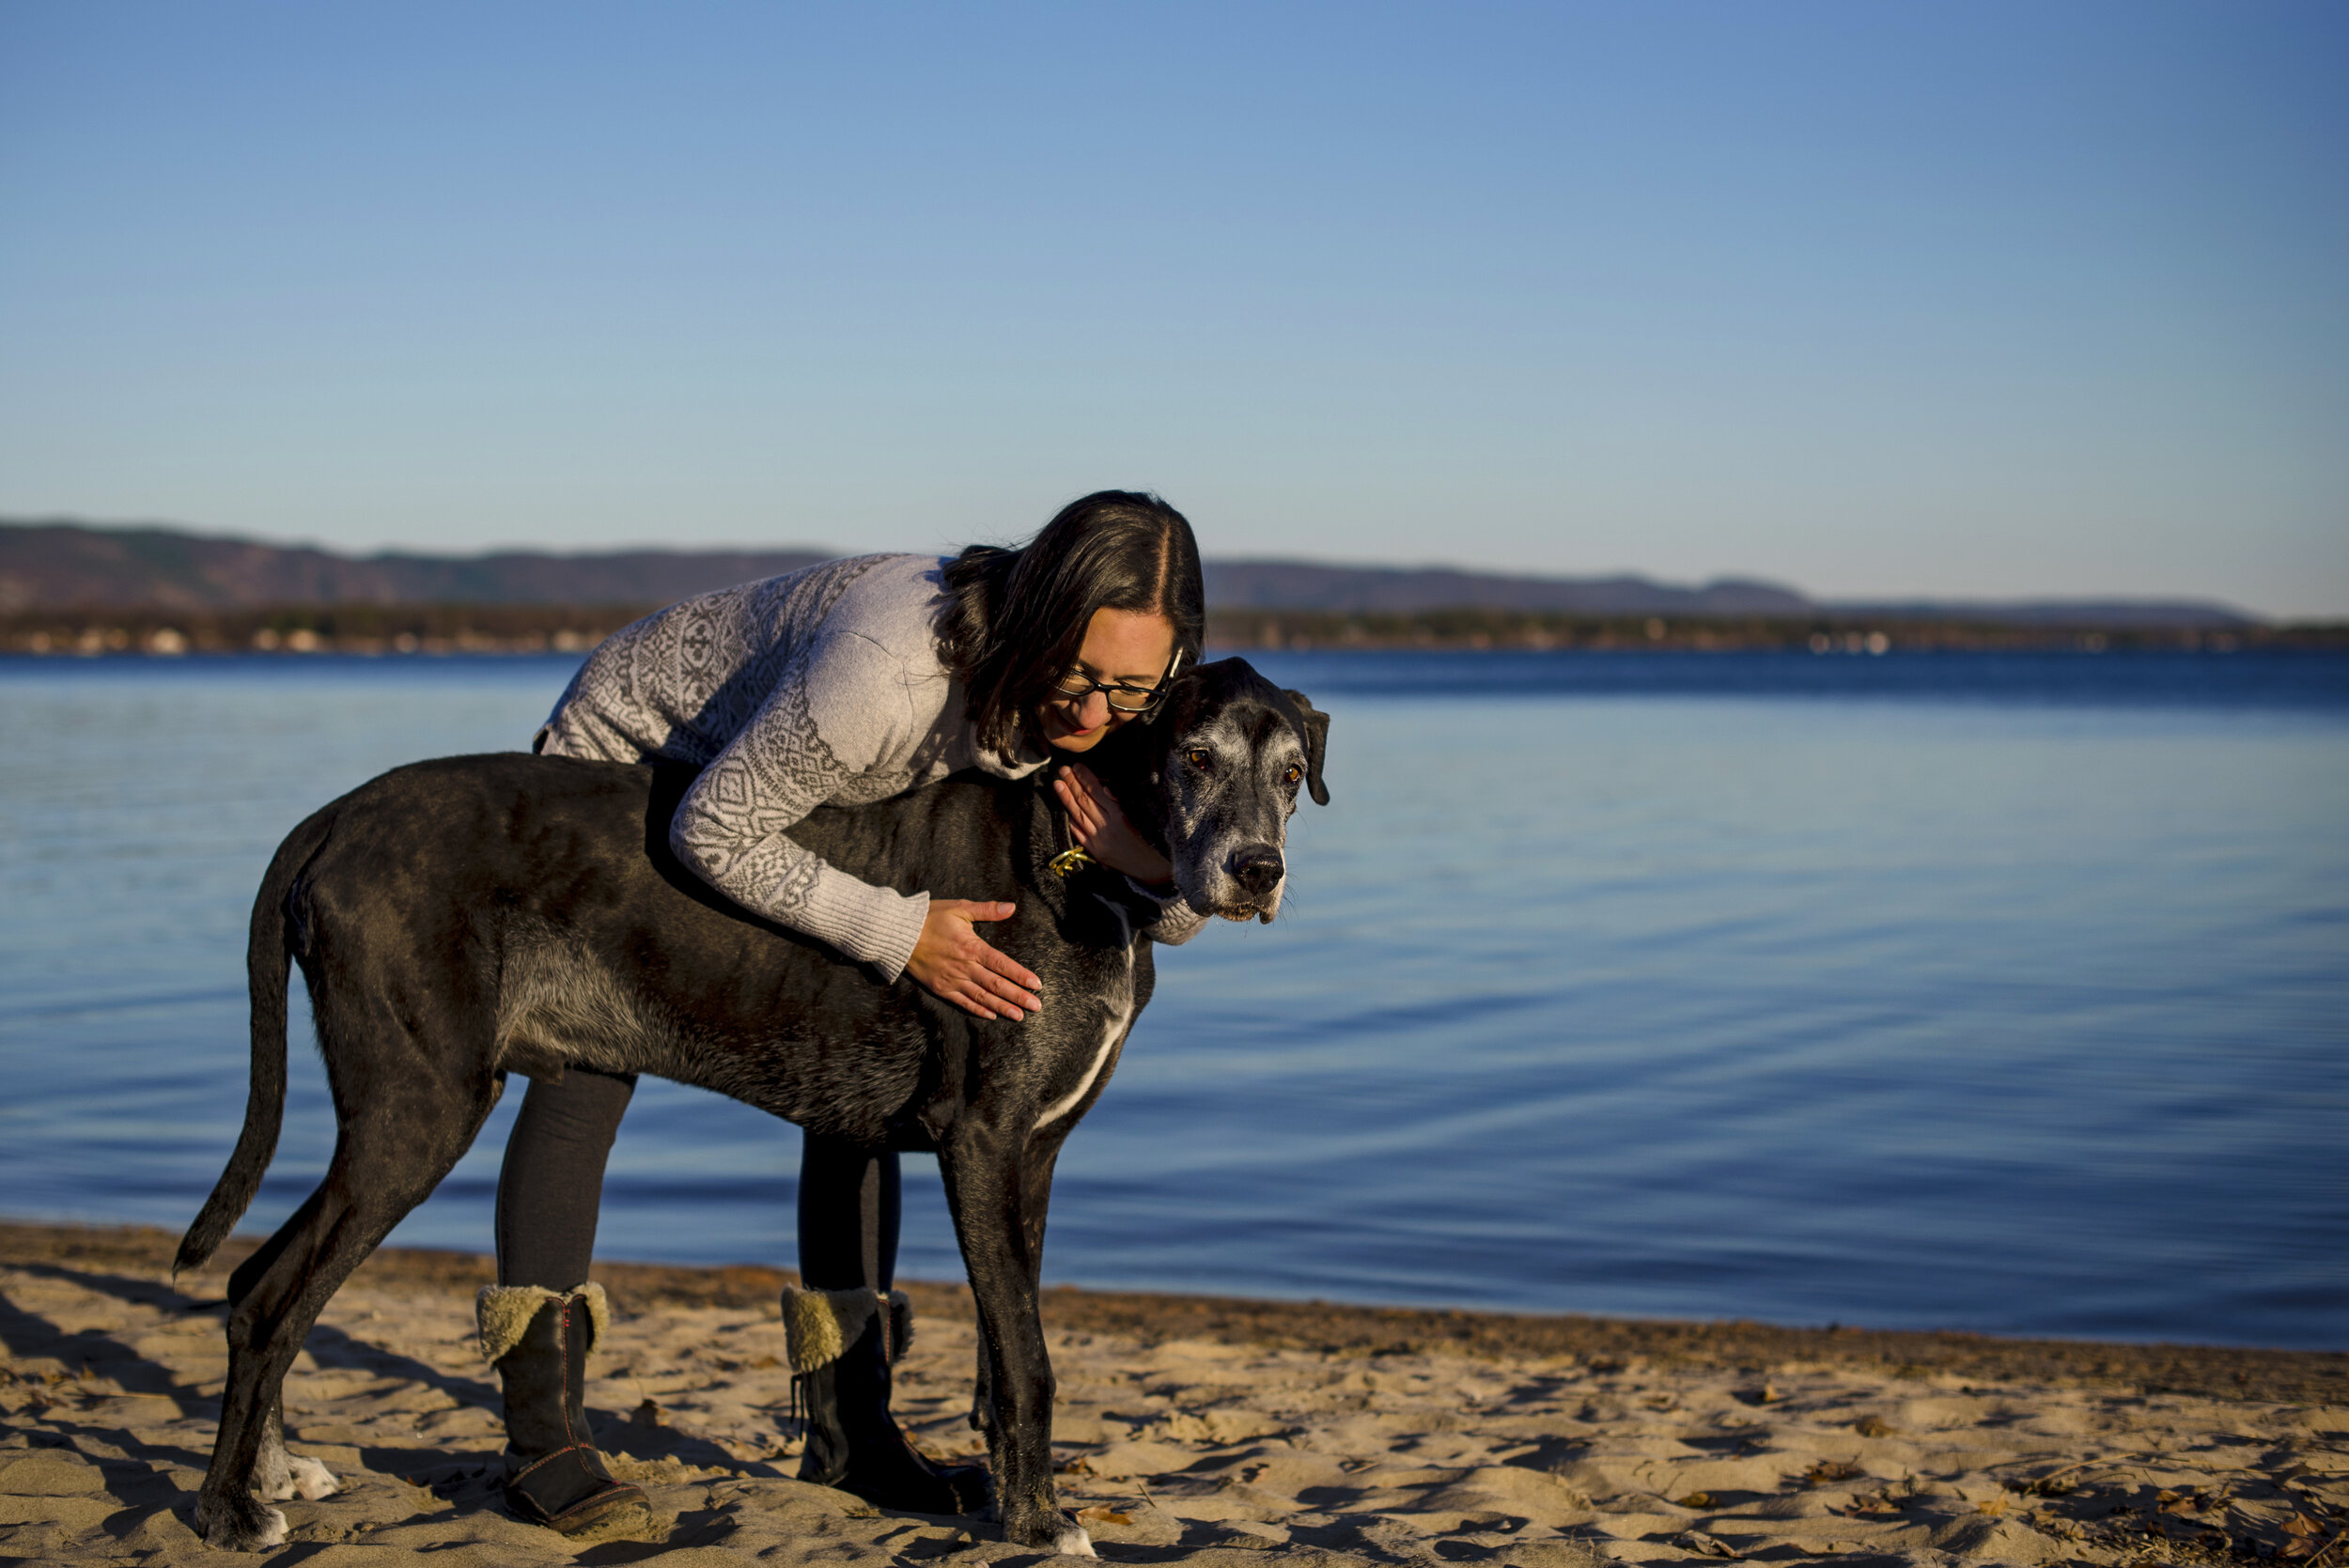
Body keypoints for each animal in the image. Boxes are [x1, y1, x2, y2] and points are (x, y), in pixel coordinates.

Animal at [176, 657, 1334, 1549]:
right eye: (1194, 757)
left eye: (1290, 773)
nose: (1257, 868)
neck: (1074, 847)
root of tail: (336, 817)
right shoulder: (984, 1144)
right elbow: (1032, 1359)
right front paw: (1043, 1525)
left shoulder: (1034, 1158)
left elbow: (1007, 1348)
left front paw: (1013, 1495)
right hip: (418, 1107)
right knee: (271, 1299)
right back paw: (230, 1511)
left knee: (253, 1281)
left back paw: (273, 1474)